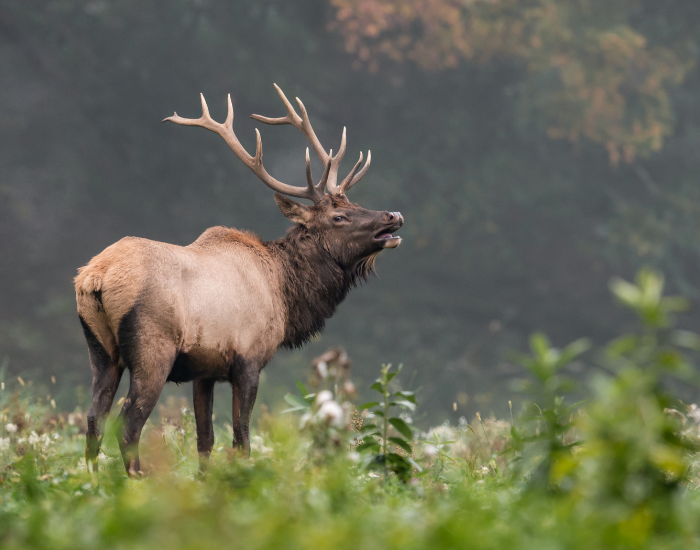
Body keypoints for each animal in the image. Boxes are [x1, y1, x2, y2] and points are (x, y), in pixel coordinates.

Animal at [74, 84, 403, 476]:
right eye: (339, 216)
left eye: (354, 203)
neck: (285, 293)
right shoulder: (248, 358)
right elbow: (241, 438)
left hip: (101, 350)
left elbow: (205, 440)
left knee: (93, 419)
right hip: (152, 348)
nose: (394, 215)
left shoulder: (204, 370)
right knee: (128, 424)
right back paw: (138, 480)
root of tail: (95, 277)